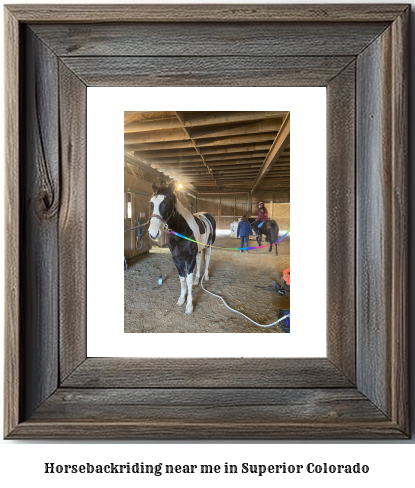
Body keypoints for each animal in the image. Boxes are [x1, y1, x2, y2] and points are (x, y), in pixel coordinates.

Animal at [148, 181, 216, 314]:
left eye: (167, 203)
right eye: (151, 203)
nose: (153, 233)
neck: (183, 232)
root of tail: (207, 215)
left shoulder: (189, 258)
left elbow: (188, 280)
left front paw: (189, 306)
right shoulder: (177, 259)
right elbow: (182, 279)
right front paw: (181, 299)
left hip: (208, 246)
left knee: (207, 260)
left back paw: (205, 277)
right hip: (199, 251)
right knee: (199, 262)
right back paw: (197, 280)